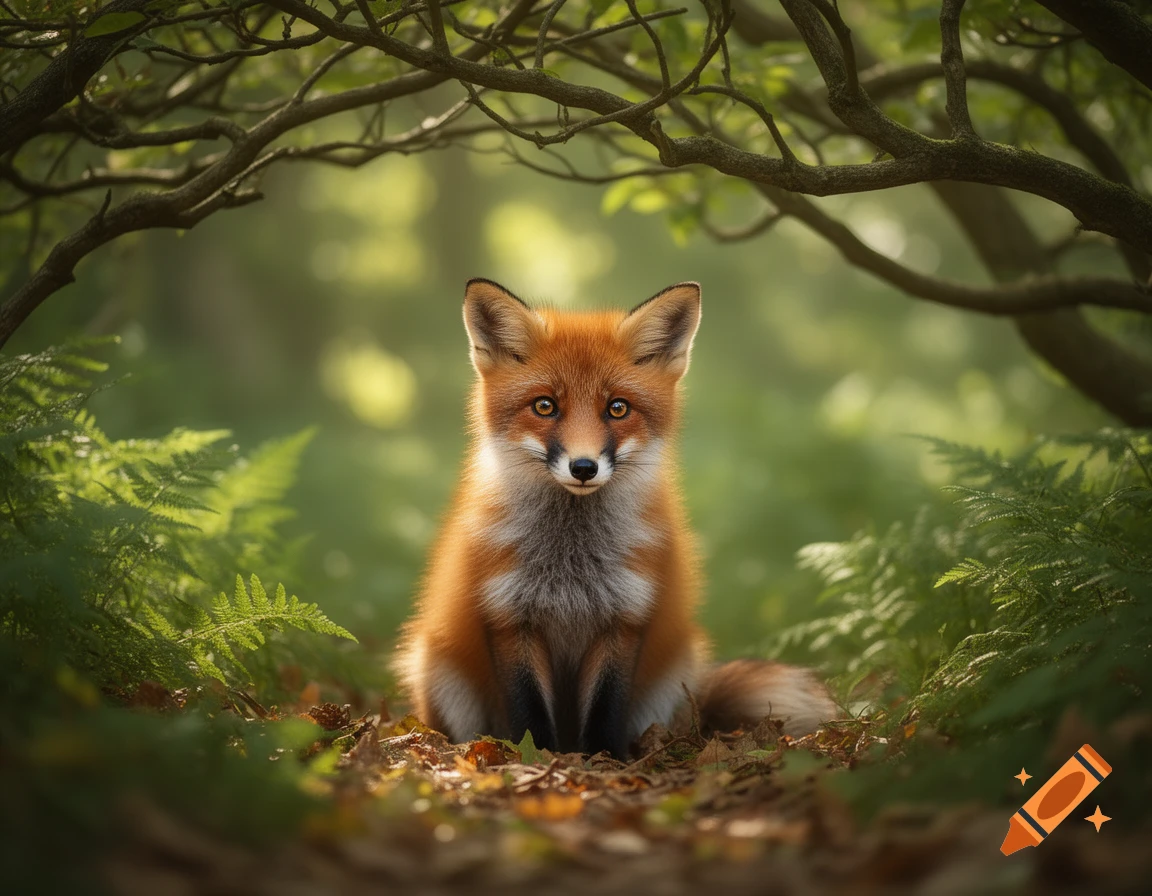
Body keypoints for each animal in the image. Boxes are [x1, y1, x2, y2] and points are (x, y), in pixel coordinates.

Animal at [392, 278, 836, 758]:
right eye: (545, 406)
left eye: (618, 408)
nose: (583, 467)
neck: (571, 561)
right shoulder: (509, 618)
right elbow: (529, 713)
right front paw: (540, 758)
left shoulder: (624, 617)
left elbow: (606, 708)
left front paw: (601, 760)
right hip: (439, 668)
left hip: (674, 674)